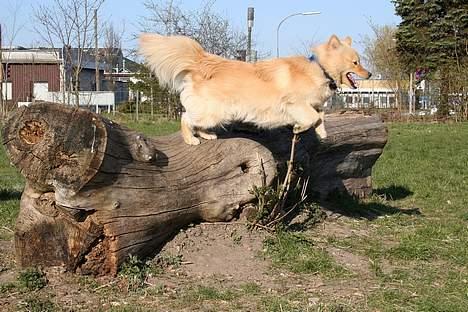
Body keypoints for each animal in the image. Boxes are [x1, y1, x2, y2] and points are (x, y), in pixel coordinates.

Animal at [139, 33, 372, 146]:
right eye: (356, 63)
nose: (369, 74)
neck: (320, 69)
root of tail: (203, 63)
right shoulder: (295, 103)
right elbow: (313, 117)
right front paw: (299, 128)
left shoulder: (312, 105)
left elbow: (320, 117)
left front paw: (321, 133)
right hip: (213, 112)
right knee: (186, 118)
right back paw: (191, 139)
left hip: (216, 114)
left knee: (196, 122)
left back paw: (207, 136)